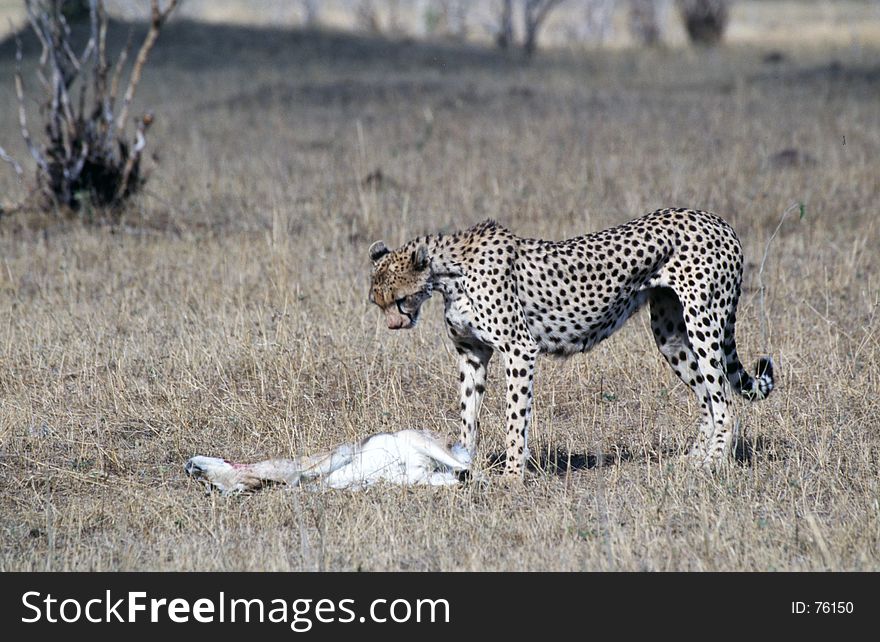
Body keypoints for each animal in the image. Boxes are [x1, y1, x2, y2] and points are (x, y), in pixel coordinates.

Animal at [368, 208, 772, 478]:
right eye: (377, 302)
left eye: (400, 299)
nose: (393, 325)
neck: (450, 274)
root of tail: (716, 220)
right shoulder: (472, 353)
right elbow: (468, 414)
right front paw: (462, 465)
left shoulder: (519, 348)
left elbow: (515, 417)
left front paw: (512, 476)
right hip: (671, 337)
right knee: (708, 397)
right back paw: (693, 458)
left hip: (704, 322)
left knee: (724, 401)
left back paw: (713, 463)